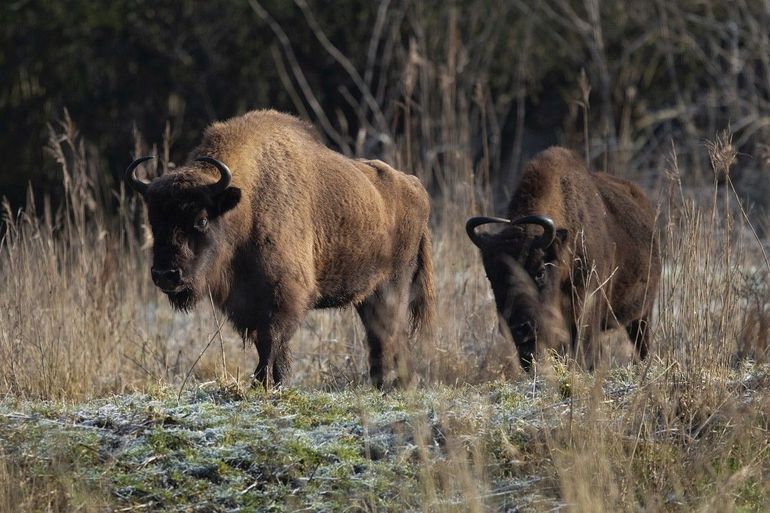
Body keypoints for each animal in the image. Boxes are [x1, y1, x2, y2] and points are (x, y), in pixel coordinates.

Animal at [126, 109, 432, 388]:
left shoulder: (283, 296)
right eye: (154, 220)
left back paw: (396, 383)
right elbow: (267, 343)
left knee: (390, 332)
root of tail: (416, 186)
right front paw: (273, 381)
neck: (244, 205)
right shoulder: (247, 302)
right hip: (367, 296)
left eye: (201, 220)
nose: (166, 275)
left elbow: (271, 340)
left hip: (392, 286)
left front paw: (264, 382)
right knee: (381, 335)